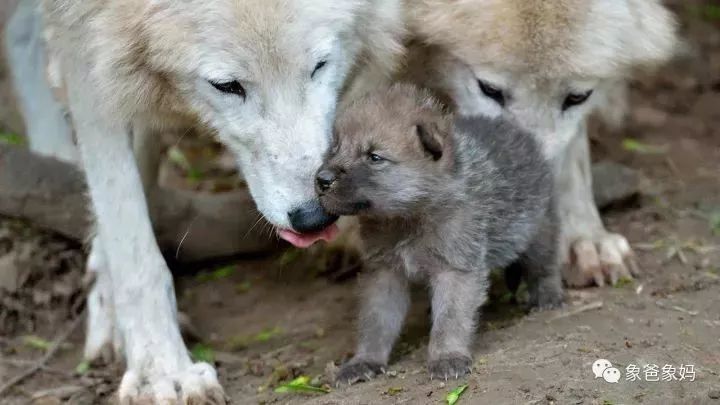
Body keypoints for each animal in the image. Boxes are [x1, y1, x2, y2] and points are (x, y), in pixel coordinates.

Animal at [23, 0, 404, 400]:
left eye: (319, 65)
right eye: (227, 86)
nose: (314, 217)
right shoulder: (83, 38)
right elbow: (132, 244)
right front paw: (162, 372)